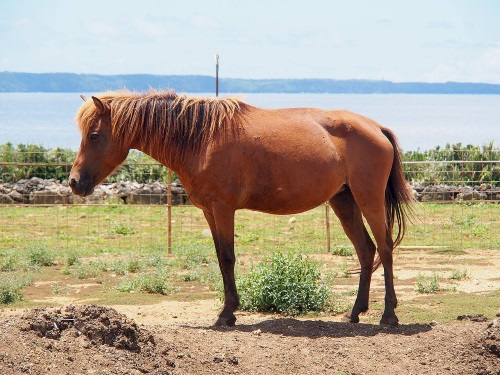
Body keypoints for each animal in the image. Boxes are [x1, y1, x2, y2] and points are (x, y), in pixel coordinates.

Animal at [70, 89, 414, 328]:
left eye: (95, 135)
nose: (75, 182)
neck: (200, 139)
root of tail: (377, 128)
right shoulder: (209, 211)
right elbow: (221, 258)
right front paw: (229, 311)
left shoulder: (223, 209)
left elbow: (227, 257)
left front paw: (227, 314)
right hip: (344, 201)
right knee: (366, 250)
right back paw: (355, 313)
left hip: (369, 199)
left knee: (384, 249)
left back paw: (388, 316)